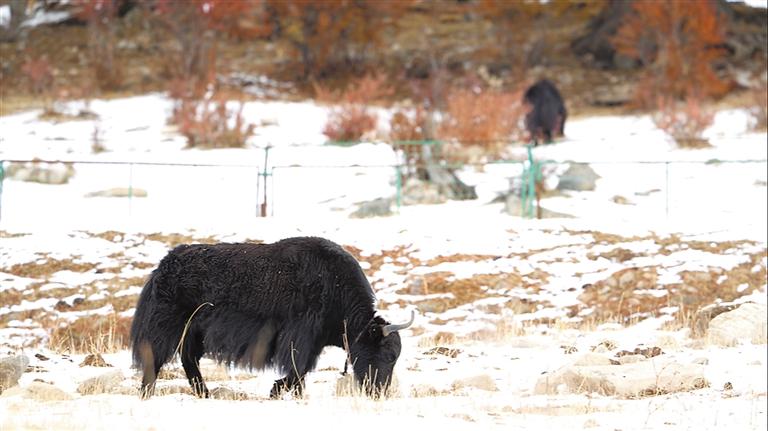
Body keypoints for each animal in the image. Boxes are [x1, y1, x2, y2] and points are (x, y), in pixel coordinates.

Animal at [130, 236, 414, 399]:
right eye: (387, 355)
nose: (379, 393)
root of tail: (163, 265)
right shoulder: (301, 337)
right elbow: (297, 368)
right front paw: (276, 391)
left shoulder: (312, 342)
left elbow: (301, 371)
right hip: (168, 325)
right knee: (155, 357)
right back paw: (147, 393)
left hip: (194, 332)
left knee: (189, 359)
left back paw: (204, 394)